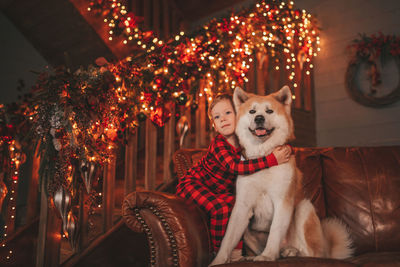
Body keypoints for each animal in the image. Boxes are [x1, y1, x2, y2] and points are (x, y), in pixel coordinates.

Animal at [209, 86, 354, 266]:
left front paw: (267, 256)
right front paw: (218, 261)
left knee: (309, 252)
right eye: (252, 111)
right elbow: (228, 239)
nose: (259, 118)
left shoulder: (282, 202)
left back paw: (290, 252)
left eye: (269, 111)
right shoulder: (242, 207)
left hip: (304, 208)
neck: (263, 159)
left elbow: (275, 231)